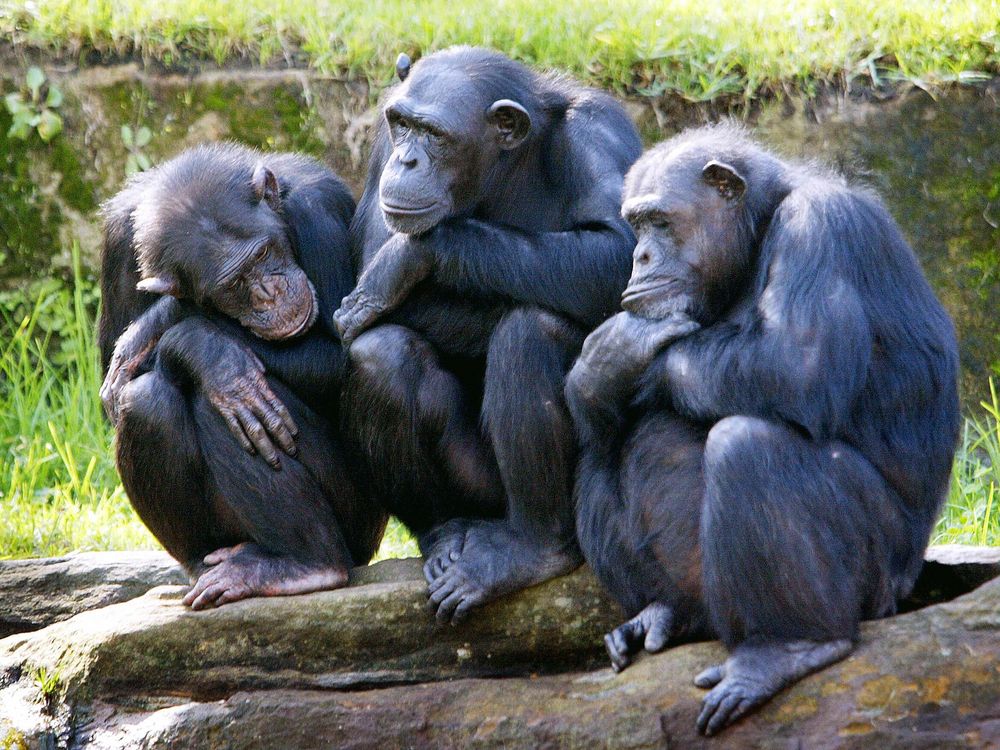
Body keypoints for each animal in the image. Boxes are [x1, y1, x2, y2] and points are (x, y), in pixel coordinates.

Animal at [97, 142, 386, 612]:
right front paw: (212, 354)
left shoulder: (319, 212)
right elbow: (112, 386)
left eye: (263, 255)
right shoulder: (117, 240)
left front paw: (181, 331)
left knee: (221, 407)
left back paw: (307, 564)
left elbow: (343, 348)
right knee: (146, 401)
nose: (269, 293)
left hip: (360, 518)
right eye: (233, 283)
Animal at [334, 44, 640, 624]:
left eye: (434, 135)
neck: (504, 167)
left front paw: (414, 255)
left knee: (531, 330)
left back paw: (529, 548)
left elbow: (625, 254)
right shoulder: (381, 145)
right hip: (474, 489)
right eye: (403, 126)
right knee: (381, 354)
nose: (406, 161)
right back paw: (444, 533)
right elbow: (367, 269)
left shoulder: (599, 135)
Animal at [564, 126, 960, 736]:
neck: (757, 233)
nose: (640, 255)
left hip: (879, 576)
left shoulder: (818, 228)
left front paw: (617, 351)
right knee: (600, 448)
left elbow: (796, 364)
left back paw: (786, 648)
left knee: (748, 447)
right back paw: (662, 613)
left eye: (660, 221)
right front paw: (594, 375)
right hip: (706, 597)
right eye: (635, 224)